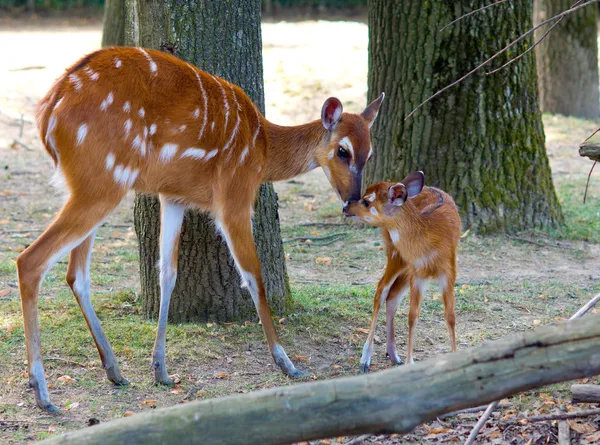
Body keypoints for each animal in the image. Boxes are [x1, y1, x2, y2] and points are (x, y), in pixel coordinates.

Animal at [19, 46, 384, 412]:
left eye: (369, 153)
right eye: (342, 150)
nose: (353, 200)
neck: (262, 149)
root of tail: (47, 116)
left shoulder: (174, 196)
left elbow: (168, 272)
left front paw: (161, 369)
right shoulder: (234, 196)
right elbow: (253, 273)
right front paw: (286, 362)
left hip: (91, 184)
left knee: (76, 273)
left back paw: (114, 370)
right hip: (103, 180)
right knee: (30, 260)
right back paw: (42, 392)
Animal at [344, 171, 462, 372]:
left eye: (366, 201)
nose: (346, 206)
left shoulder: (449, 272)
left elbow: (450, 316)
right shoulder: (418, 274)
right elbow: (412, 316)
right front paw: (410, 362)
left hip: (405, 266)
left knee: (393, 295)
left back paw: (394, 356)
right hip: (396, 255)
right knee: (381, 290)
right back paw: (365, 361)